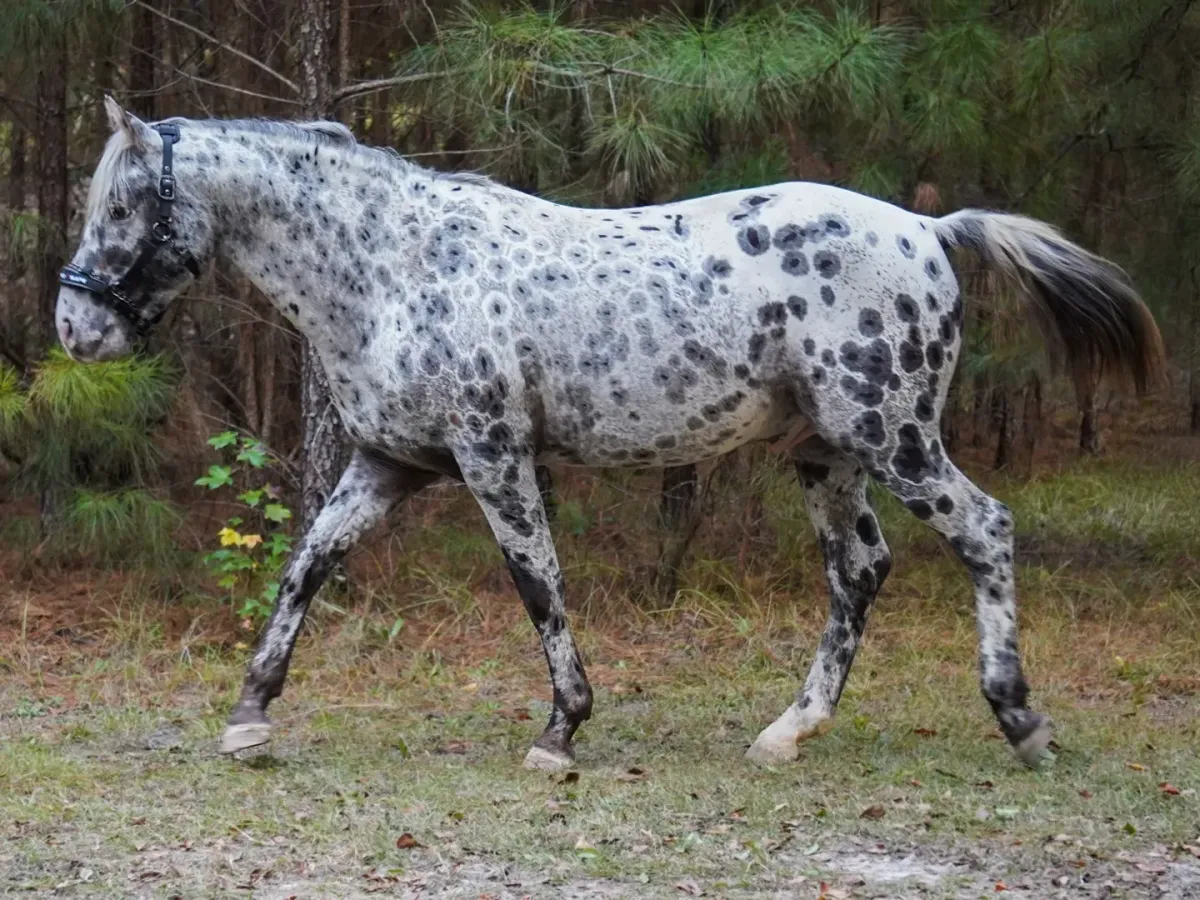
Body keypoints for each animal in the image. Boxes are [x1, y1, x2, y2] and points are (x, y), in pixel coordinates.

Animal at [56, 97, 1165, 771]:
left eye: (124, 203)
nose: (75, 329)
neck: (395, 266)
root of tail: (928, 231)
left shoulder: (493, 458)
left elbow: (536, 581)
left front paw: (562, 730)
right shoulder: (388, 463)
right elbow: (305, 569)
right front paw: (250, 716)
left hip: (894, 437)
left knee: (984, 531)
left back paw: (1021, 720)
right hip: (827, 456)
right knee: (859, 571)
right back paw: (789, 731)